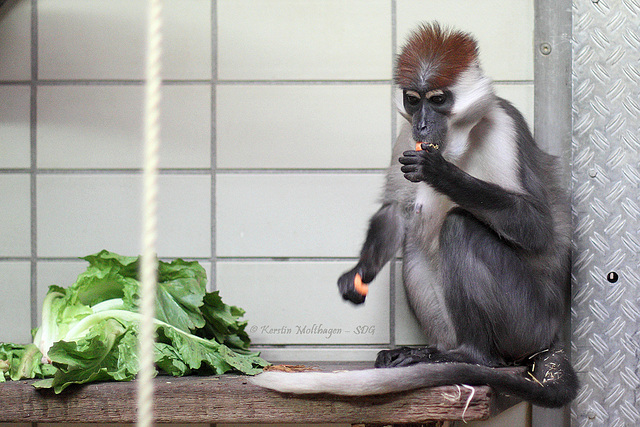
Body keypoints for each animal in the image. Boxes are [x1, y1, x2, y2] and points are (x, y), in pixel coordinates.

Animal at [251, 22, 580, 408]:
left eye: (437, 100)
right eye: (413, 99)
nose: (422, 126)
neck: (455, 144)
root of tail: (550, 337)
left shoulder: (504, 126)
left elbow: (538, 228)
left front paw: (443, 175)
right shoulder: (403, 137)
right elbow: (395, 210)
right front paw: (359, 274)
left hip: (527, 324)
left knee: (459, 227)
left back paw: (472, 355)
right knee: (417, 244)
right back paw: (431, 351)